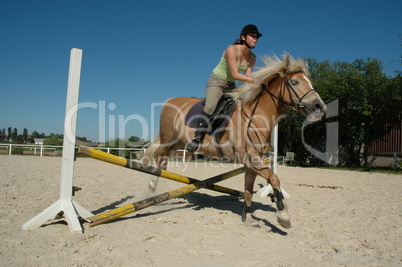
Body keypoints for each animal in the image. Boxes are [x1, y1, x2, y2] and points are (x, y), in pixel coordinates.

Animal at [144, 55, 326, 230]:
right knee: (160, 155)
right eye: (295, 82)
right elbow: (274, 179)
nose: (319, 106)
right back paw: (152, 187)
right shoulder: (252, 160)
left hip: (179, 142)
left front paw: (248, 218)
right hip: (168, 138)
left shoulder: (252, 164)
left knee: (164, 157)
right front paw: (283, 216)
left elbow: (248, 190)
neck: (257, 116)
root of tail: (170, 100)